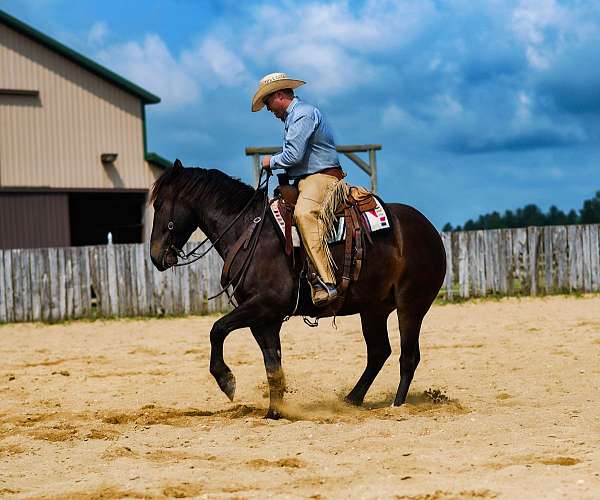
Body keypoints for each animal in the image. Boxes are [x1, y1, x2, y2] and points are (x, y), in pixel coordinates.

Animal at [150, 160, 446, 418]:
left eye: (159, 204)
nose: (155, 256)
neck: (250, 232)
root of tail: (430, 230)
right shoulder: (264, 319)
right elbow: (273, 364)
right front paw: (274, 412)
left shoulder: (264, 305)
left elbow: (218, 329)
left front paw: (226, 380)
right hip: (373, 309)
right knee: (378, 352)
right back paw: (351, 400)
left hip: (411, 306)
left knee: (408, 356)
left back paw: (397, 405)